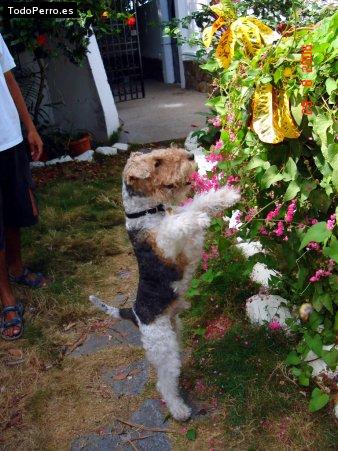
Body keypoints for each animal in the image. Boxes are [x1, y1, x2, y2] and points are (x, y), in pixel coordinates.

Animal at [88, 147, 239, 420]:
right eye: (156, 162)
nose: (190, 156)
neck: (146, 214)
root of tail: (133, 313)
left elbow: (198, 202)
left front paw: (227, 195)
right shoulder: (166, 243)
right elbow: (180, 222)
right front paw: (200, 219)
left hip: (174, 331)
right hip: (162, 346)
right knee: (164, 383)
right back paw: (179, 410)